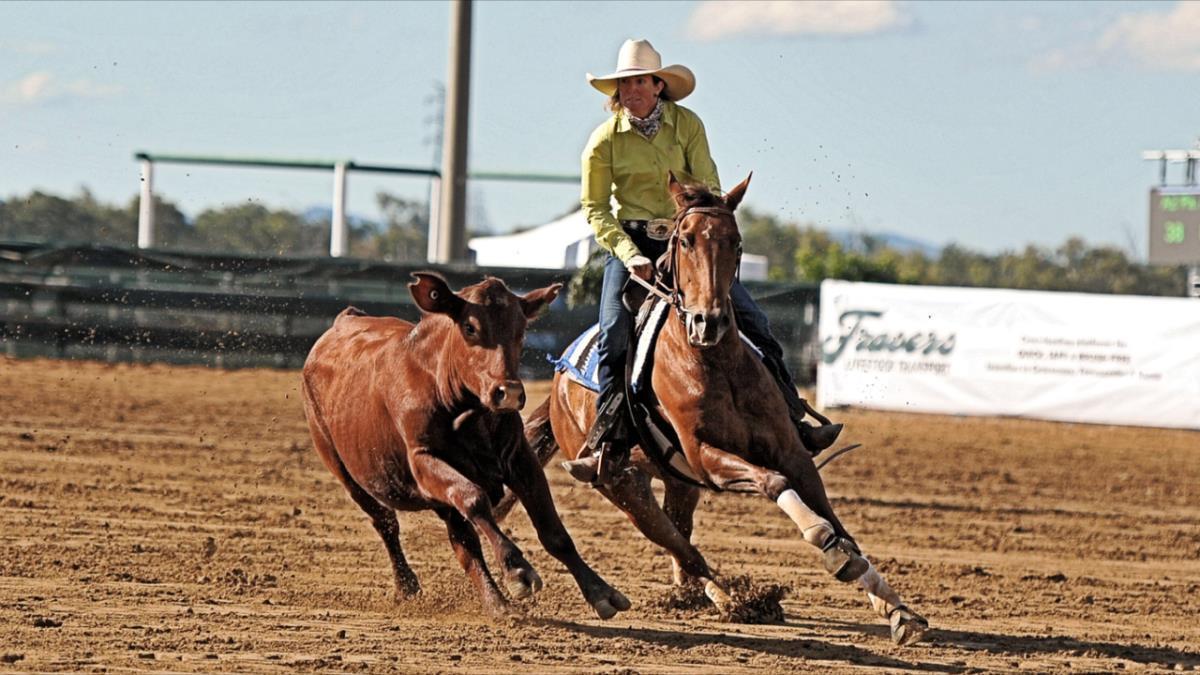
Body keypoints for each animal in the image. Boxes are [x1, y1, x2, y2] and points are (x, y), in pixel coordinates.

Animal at [301, 272, 630, 620]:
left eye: (521, 329)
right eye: (470, 328)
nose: (508, 393)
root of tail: (344, 320)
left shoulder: (521, 459)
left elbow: (552, 530)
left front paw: (600, 592)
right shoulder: (423, 460)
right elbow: (474, 499)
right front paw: (518, 570)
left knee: (464, 544)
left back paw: (495, 602)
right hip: (346, 473)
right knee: (387, 523)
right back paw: (410, 585)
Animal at [522, 174, 928, 645]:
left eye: (735, 242)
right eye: (684, 240)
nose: (708, 322)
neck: (714, 363)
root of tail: (558, 384)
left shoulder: (792, 453)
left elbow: (835, 520)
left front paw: (896, 607)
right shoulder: (708, 458)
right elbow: (775, 485)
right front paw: (830, 549)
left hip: (680, 483)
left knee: (682, 544)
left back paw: (712, 597)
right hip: (623, 485)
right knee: (680, 546)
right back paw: (738, 600)